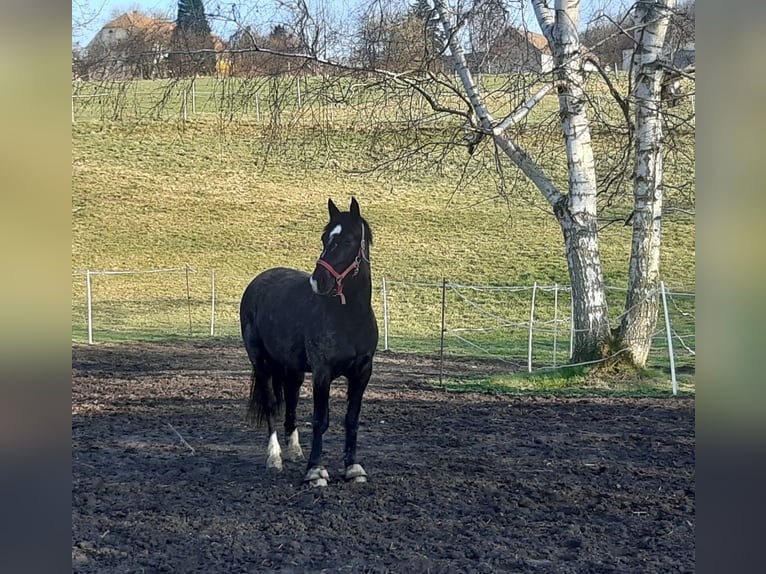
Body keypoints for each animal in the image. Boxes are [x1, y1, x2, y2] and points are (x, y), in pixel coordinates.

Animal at [239, 197, 378, 487]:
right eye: (325, 239)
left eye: (347, 241)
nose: (318, 281)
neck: (349, 318)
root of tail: (257, 283)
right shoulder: (322, 373)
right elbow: (319, 420)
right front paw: (316, 471)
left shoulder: (362, 373)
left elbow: (351, 418)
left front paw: (353, 468)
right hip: (261, 363)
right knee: (271, 405)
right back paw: (275, 458)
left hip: (291, 368)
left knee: (290, 401)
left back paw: (294, 451)